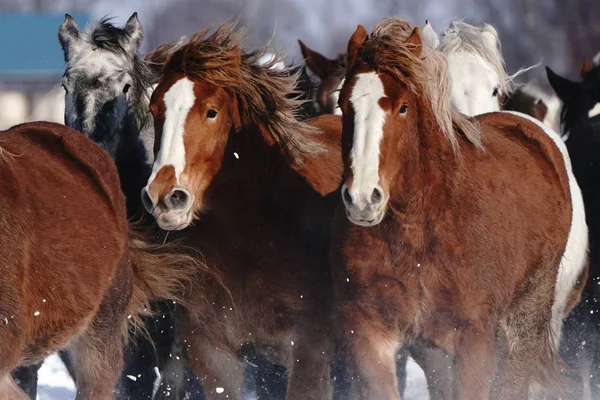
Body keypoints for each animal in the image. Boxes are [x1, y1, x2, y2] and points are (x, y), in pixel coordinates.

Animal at [330, 19, 584, 400]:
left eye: (403, 107)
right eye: (345, 104)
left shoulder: (475, 336)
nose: (362, 198)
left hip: (527, 322)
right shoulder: (372, 332)